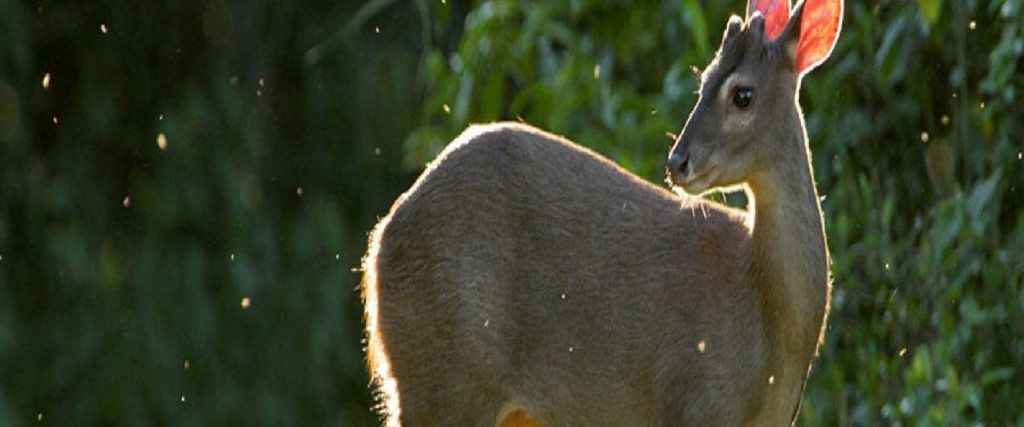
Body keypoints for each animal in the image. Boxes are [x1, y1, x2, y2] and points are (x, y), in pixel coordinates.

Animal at [360, 1, 839, 423]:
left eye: (743, 94)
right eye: (703, 81)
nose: (678, 161)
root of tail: (380, 242)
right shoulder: (694, 398)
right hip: (446, 375)